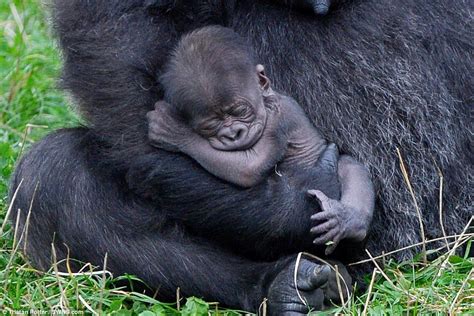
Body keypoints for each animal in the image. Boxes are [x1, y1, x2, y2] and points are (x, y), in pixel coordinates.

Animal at [148, 26, 374, 254]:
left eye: (241, 111)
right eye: (210, 126)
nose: (234, 134)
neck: (267, 100)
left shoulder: (277, 123)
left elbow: (250, 167)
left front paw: (174, 131)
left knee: (349, 165)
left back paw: (348, 220)